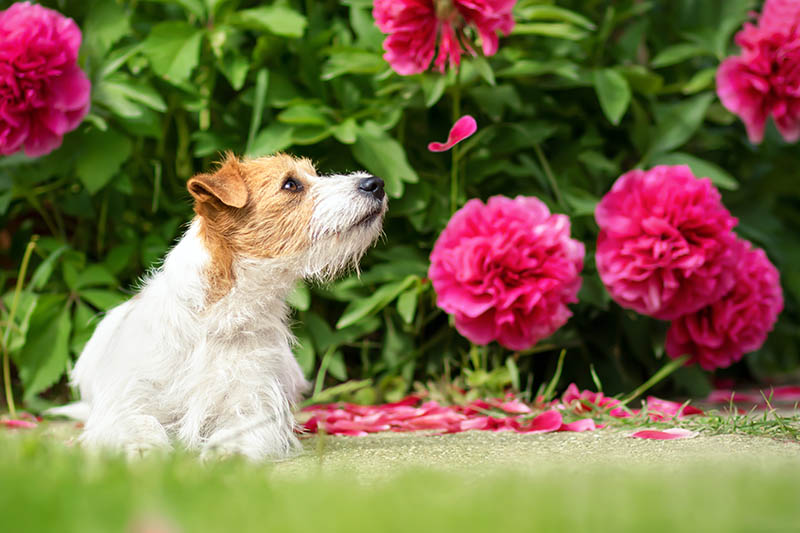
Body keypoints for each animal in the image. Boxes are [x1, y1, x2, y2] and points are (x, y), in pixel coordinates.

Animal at [51, 153, 386, 458]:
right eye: (291, 184)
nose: (376, 183)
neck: (216, 317)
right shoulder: (127, 400)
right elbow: (136, 422)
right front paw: (141, 446)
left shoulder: (254, 402)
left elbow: (241, 428)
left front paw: (228, 452)